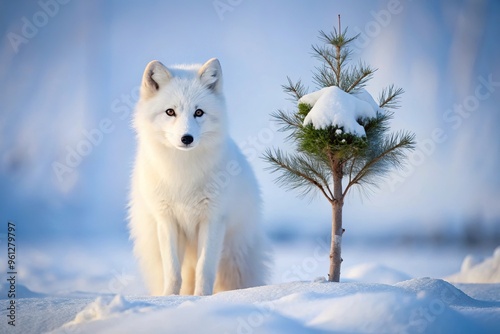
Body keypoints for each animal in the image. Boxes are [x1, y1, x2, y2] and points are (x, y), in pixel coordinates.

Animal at [129, 58, 270, 296]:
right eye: (170, 112)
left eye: (199, 112)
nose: (187, 138)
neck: (183, 174)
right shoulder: (167, 220)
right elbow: (173, 272)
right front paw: (169, 298)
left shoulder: (212, 219)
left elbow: (205, 269)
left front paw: (202, 298)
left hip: (233, 261)